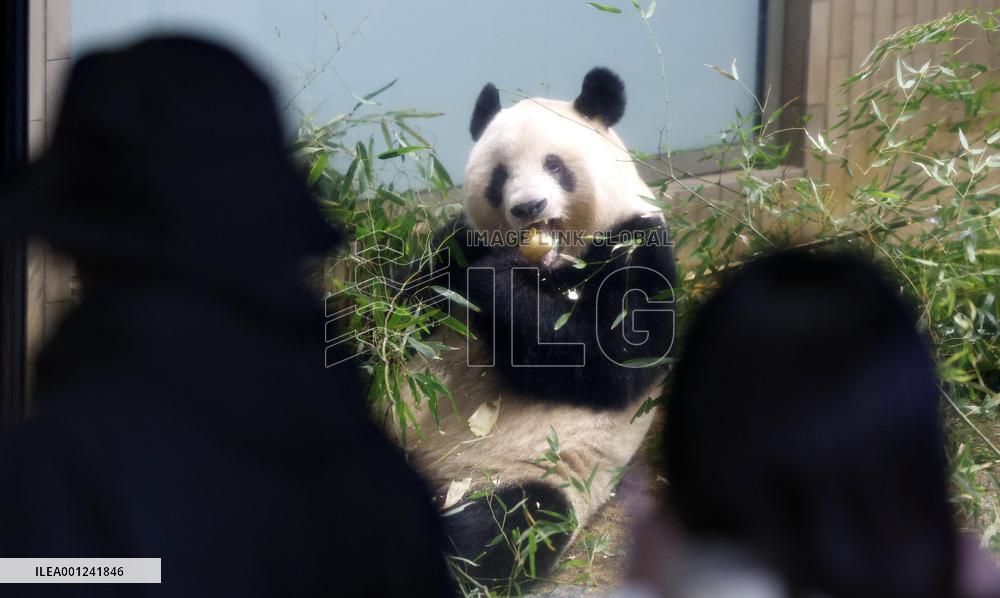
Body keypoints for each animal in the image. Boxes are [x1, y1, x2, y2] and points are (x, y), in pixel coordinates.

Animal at [396, 67, 676, 583]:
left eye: (554, 165)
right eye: (500, 175)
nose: (529, 208)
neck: (551, 264)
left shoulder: (638, 245)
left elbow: (612, 362)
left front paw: (495, 280)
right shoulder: (456, 245)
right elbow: (402, 307)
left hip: (514, 473)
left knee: (498, 532)